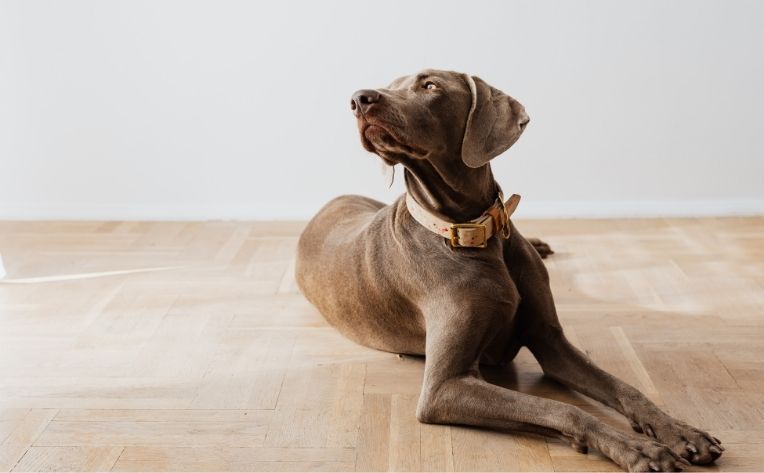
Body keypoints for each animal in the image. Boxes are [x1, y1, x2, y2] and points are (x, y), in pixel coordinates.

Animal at [296, 68, 724, 470]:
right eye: (390, 84)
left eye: (430, 85)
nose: (359, 98)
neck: (475, 231)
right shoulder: (444, 388)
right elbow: (563, 408)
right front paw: (637, 449)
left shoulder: (552, 342)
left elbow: (626, 388)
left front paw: (681, 432)